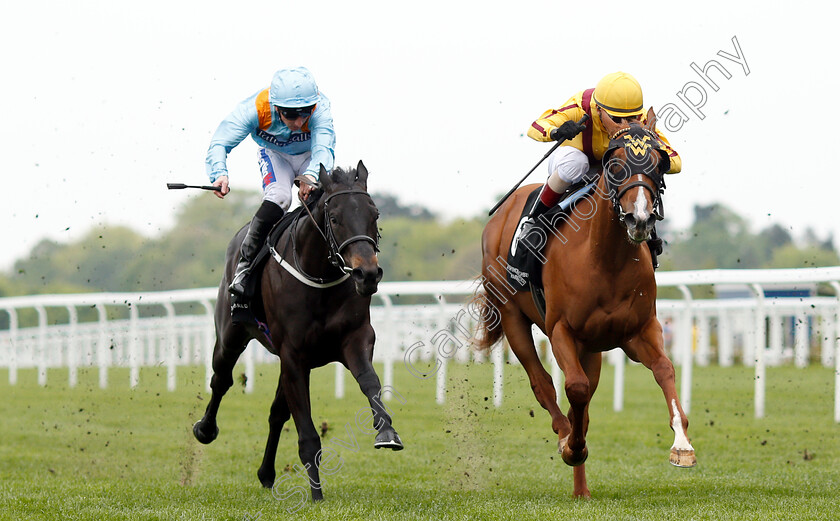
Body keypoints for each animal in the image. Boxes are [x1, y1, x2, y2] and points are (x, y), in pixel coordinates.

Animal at [192, 161, 402, 500]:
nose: (367, 274)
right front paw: (316, 496)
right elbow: (307, 433)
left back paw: (266, 473)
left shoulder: (355, 338)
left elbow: (370, 381)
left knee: (277, 413)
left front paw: (387, 431)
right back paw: (205, 429)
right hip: (230, 336)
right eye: (334, 218)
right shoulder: (293, 354)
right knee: (221, 380)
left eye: (375, 214)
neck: (319, 276)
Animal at [472, 107, 696, 498]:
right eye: (616, 165)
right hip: (513, 316)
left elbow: (665, 370)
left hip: (592, 346)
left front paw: (682, 444)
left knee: (585, 403)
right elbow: (572, 387)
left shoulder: (638, 331)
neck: (605, 259)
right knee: (544, 383)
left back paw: (582, 489)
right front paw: (571, 445)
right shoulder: (561, 329)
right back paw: (565, 438)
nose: (639, 219)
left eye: (658, 164)